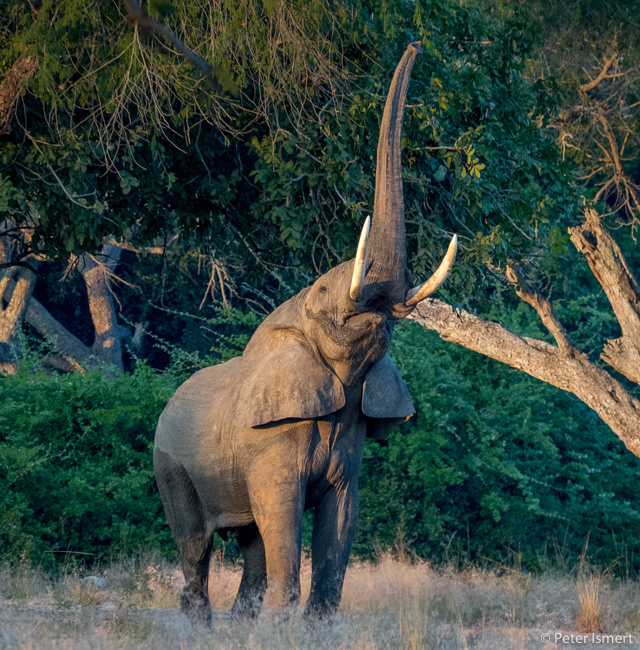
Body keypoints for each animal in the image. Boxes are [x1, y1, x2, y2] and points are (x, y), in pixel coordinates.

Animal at [154, 40, 457, 621]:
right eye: (319, 295)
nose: (416, 45)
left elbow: (342, 518)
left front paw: (314, 625)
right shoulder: (271, 438)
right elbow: (283, 514)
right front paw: (283, 624)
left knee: (249, 544)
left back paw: (241, 622)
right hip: (170, 462)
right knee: (196, 547)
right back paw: (198, 623)